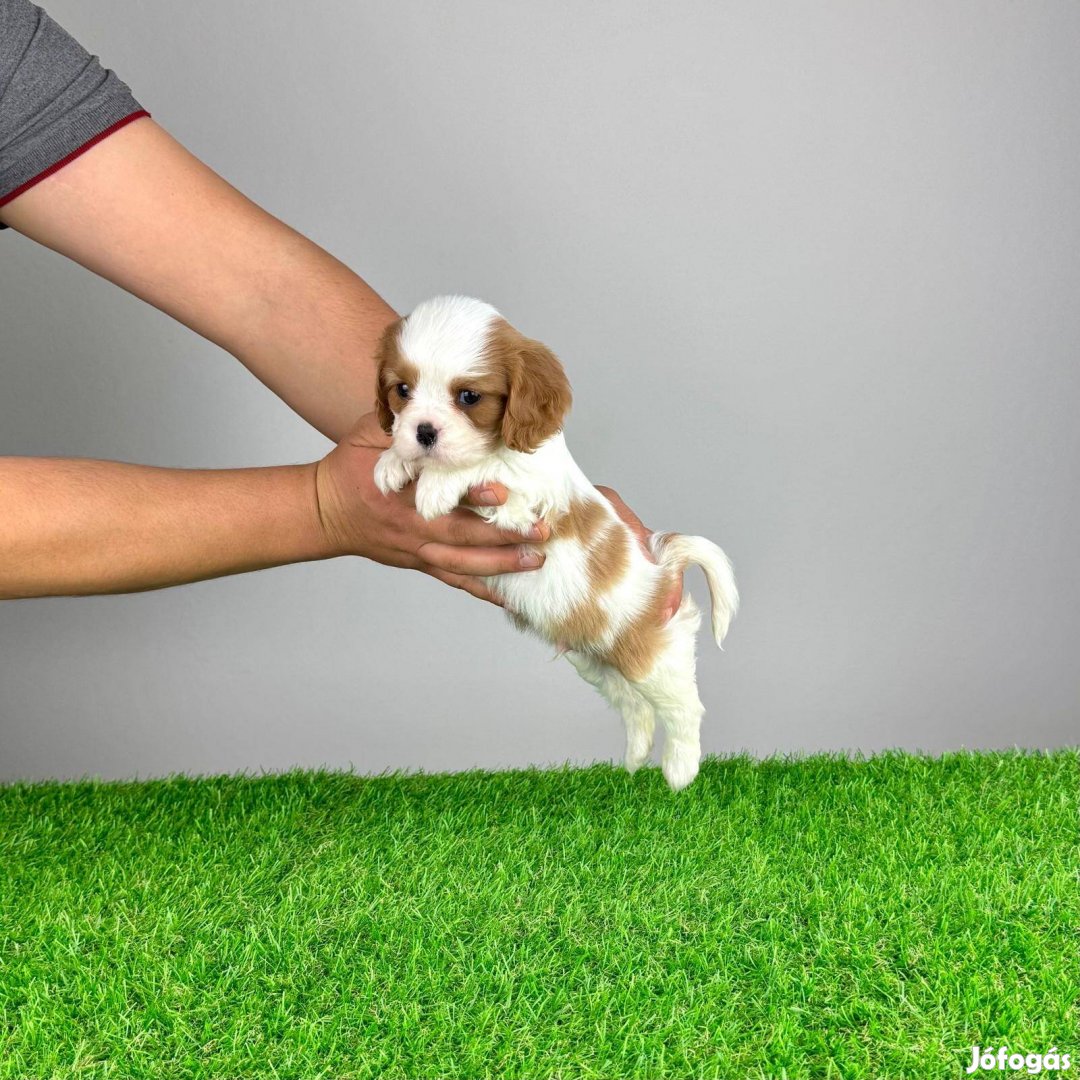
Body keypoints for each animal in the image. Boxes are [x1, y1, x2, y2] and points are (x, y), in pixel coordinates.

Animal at [371, 295, 734, 794]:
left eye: (469, 397)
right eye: (402, 389)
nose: (423, 432)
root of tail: (664, 570)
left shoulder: (527, 499)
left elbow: (485, 463)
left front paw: (436, 485)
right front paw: (394, 461)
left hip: (652, 658)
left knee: (684, 709)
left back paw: (680, 770)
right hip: (597, 661)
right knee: (634, 707)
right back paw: (633, 761)